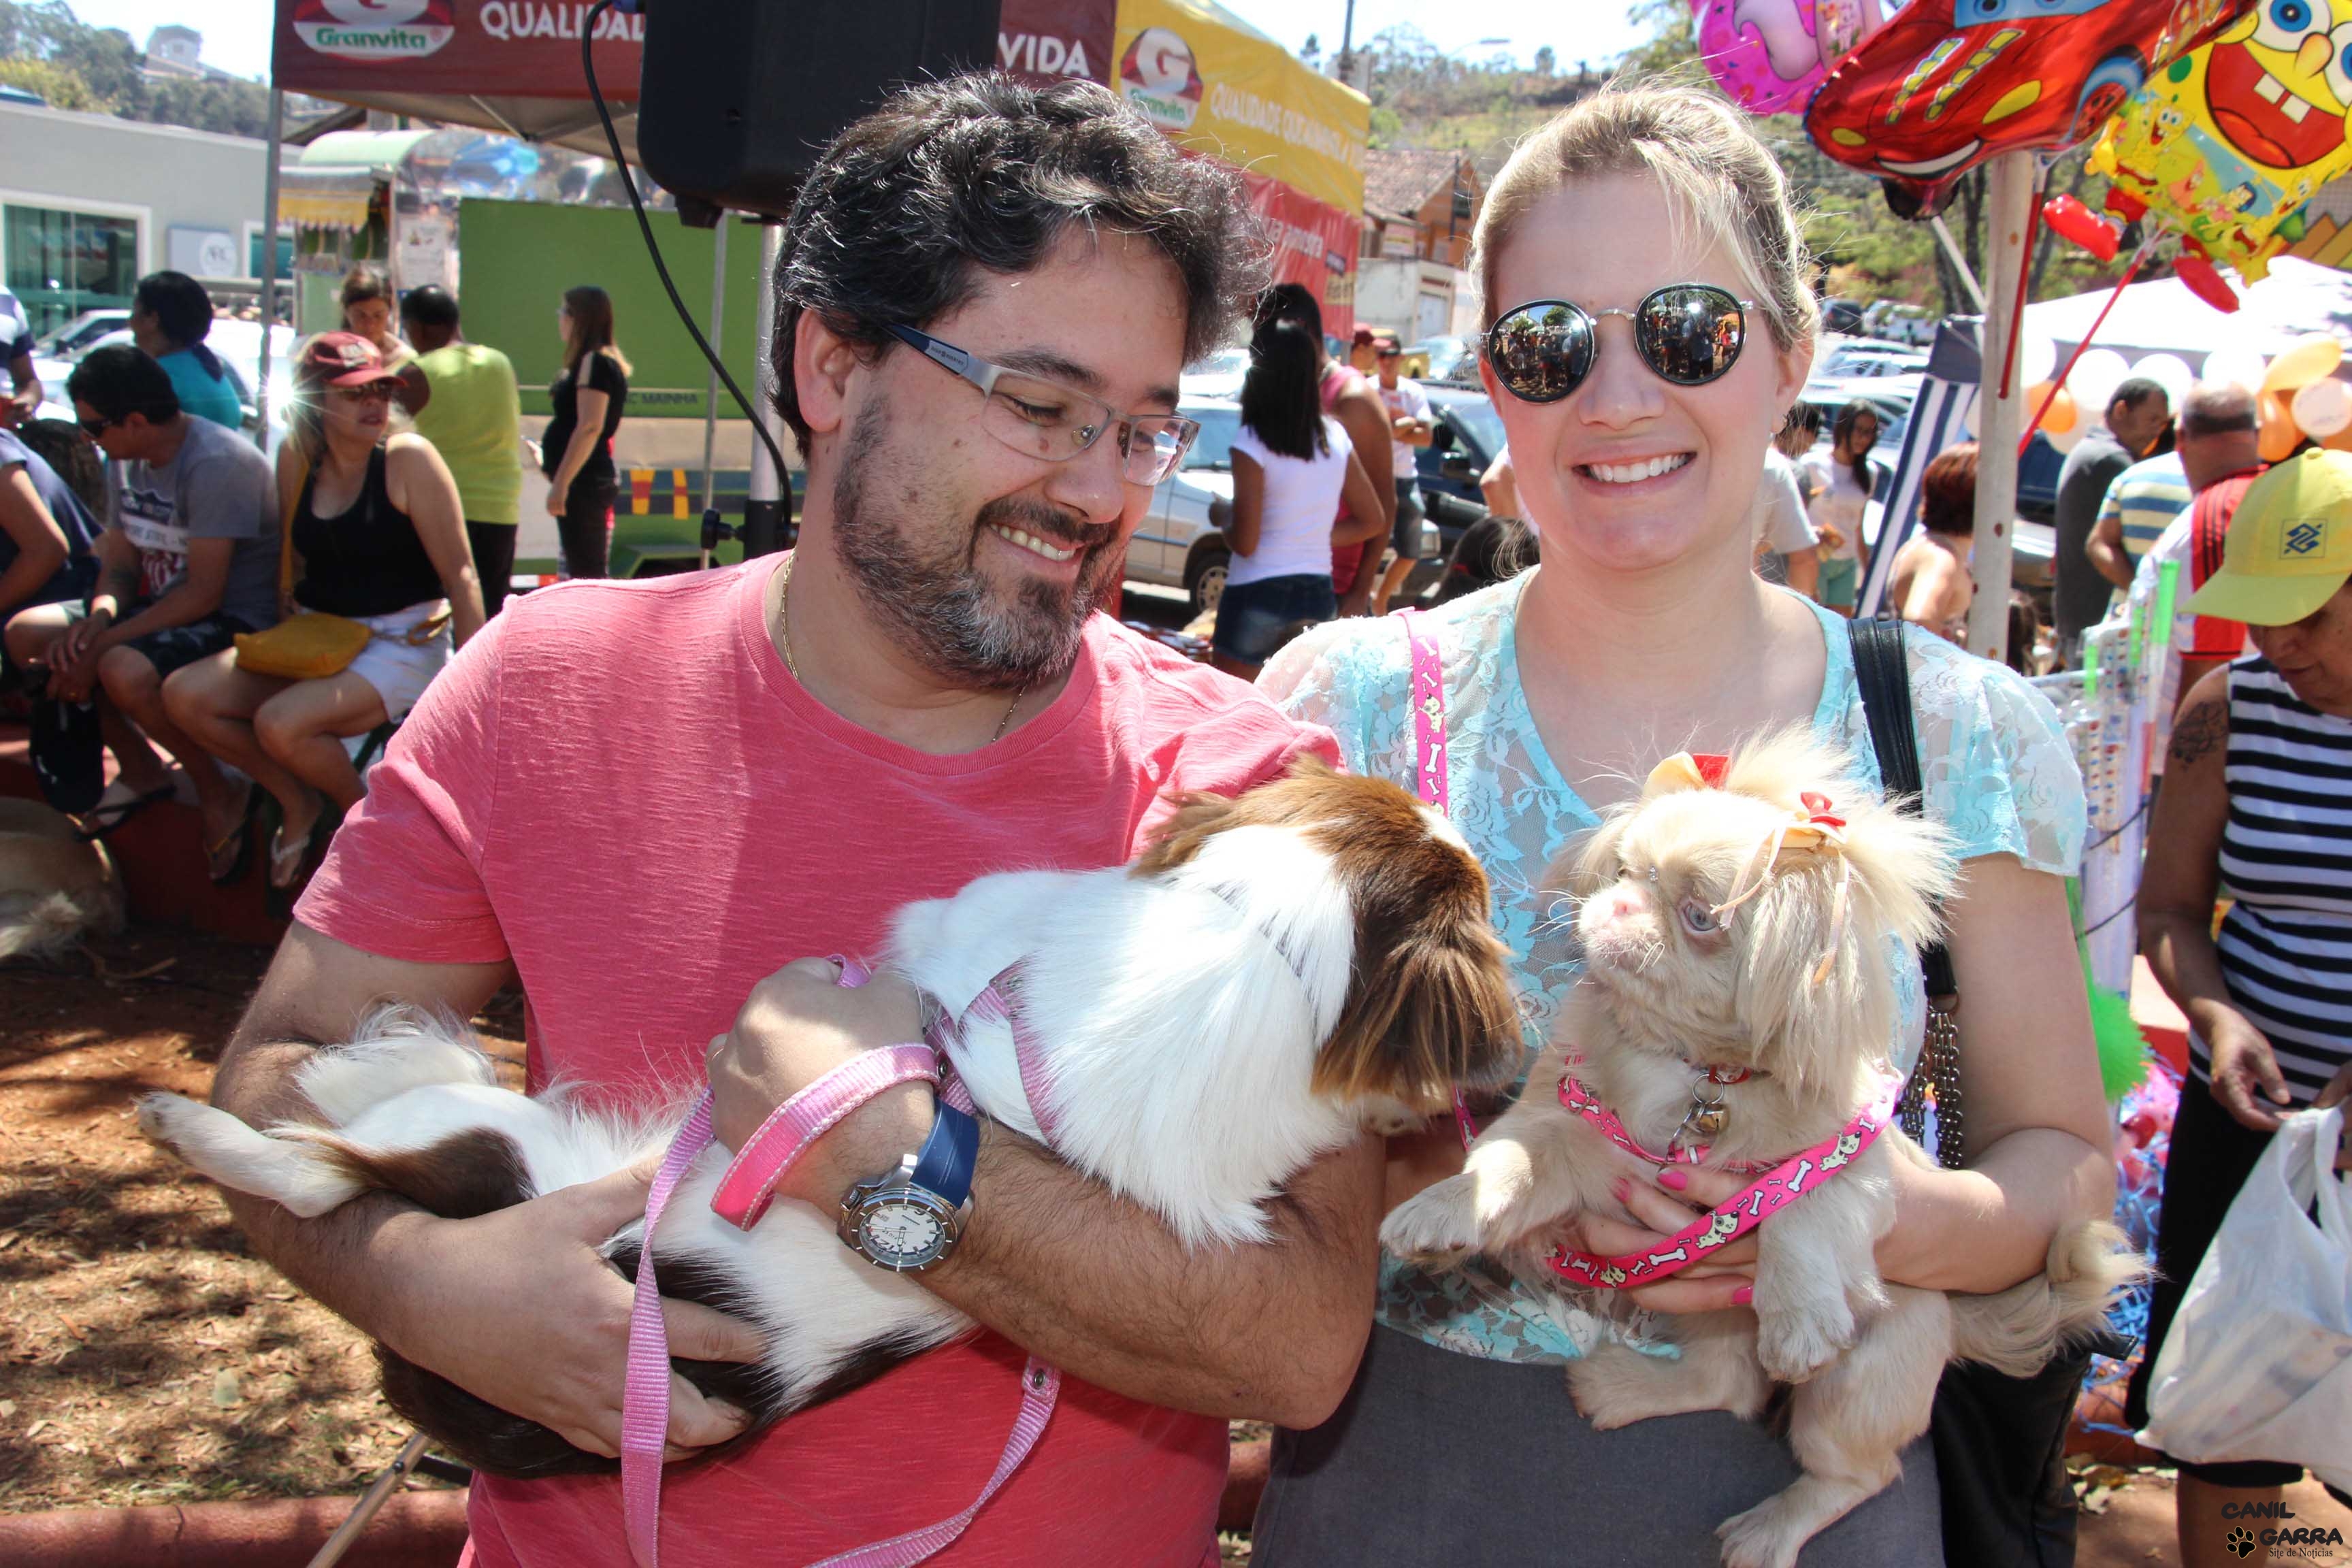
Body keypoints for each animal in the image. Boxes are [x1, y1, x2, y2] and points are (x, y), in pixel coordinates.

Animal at [1380, 732, 2140, 1568]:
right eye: (1624, 874)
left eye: (1699, 916)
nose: (1616, 904)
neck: (1696, 1074)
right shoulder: (1567, 1134)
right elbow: (1507, 1165)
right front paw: (1446, 1211)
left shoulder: (1851, 1163)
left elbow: (1798, 1208)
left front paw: (1798, 1315)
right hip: (1705, 1314)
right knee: (1730, 1386)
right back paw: (1627, 1389)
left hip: (1857, 1382)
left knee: (1856, 1473)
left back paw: (1770, 1528)